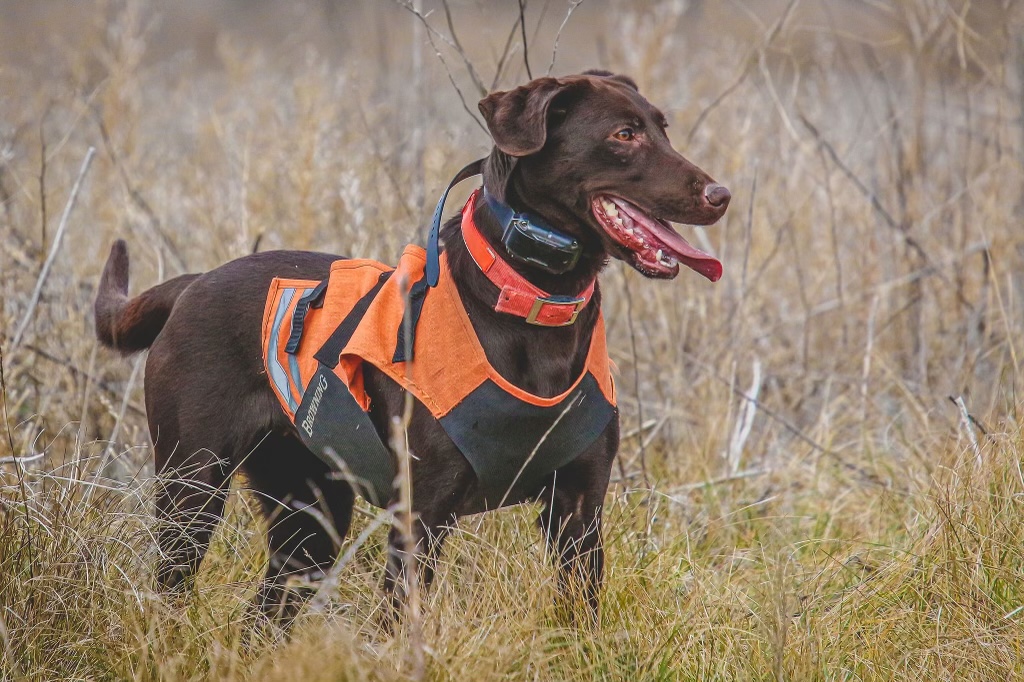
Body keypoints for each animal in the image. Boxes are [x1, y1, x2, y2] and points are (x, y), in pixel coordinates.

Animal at [90, 69, 729, 622]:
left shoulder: (579, 508)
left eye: (662, 127)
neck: (532, 303)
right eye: (624, 135)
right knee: (172, 589)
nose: (721, 194)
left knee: (263, 616)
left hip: (310, 518)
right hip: (191, 486)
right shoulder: (421, 517)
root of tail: (193, 282)